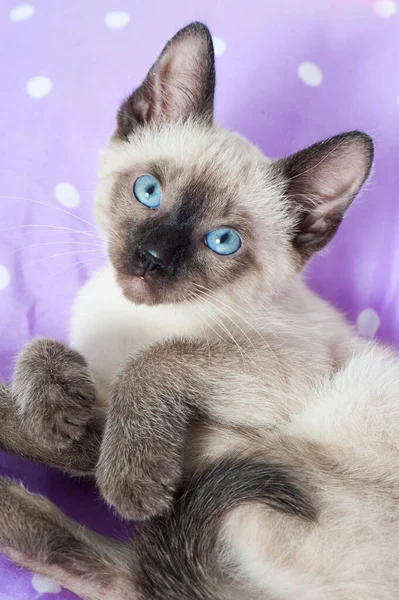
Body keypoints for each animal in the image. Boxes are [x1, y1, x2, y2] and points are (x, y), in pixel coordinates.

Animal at [1, 21, 398, 600]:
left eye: (223, 241)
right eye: (148, 191)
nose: (151, 259)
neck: (134, 323)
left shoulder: (282, 366)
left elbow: (157, 361)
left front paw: (128, 473)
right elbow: (40, 346)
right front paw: (55, 407)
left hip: (272, 459)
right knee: (127, 577)